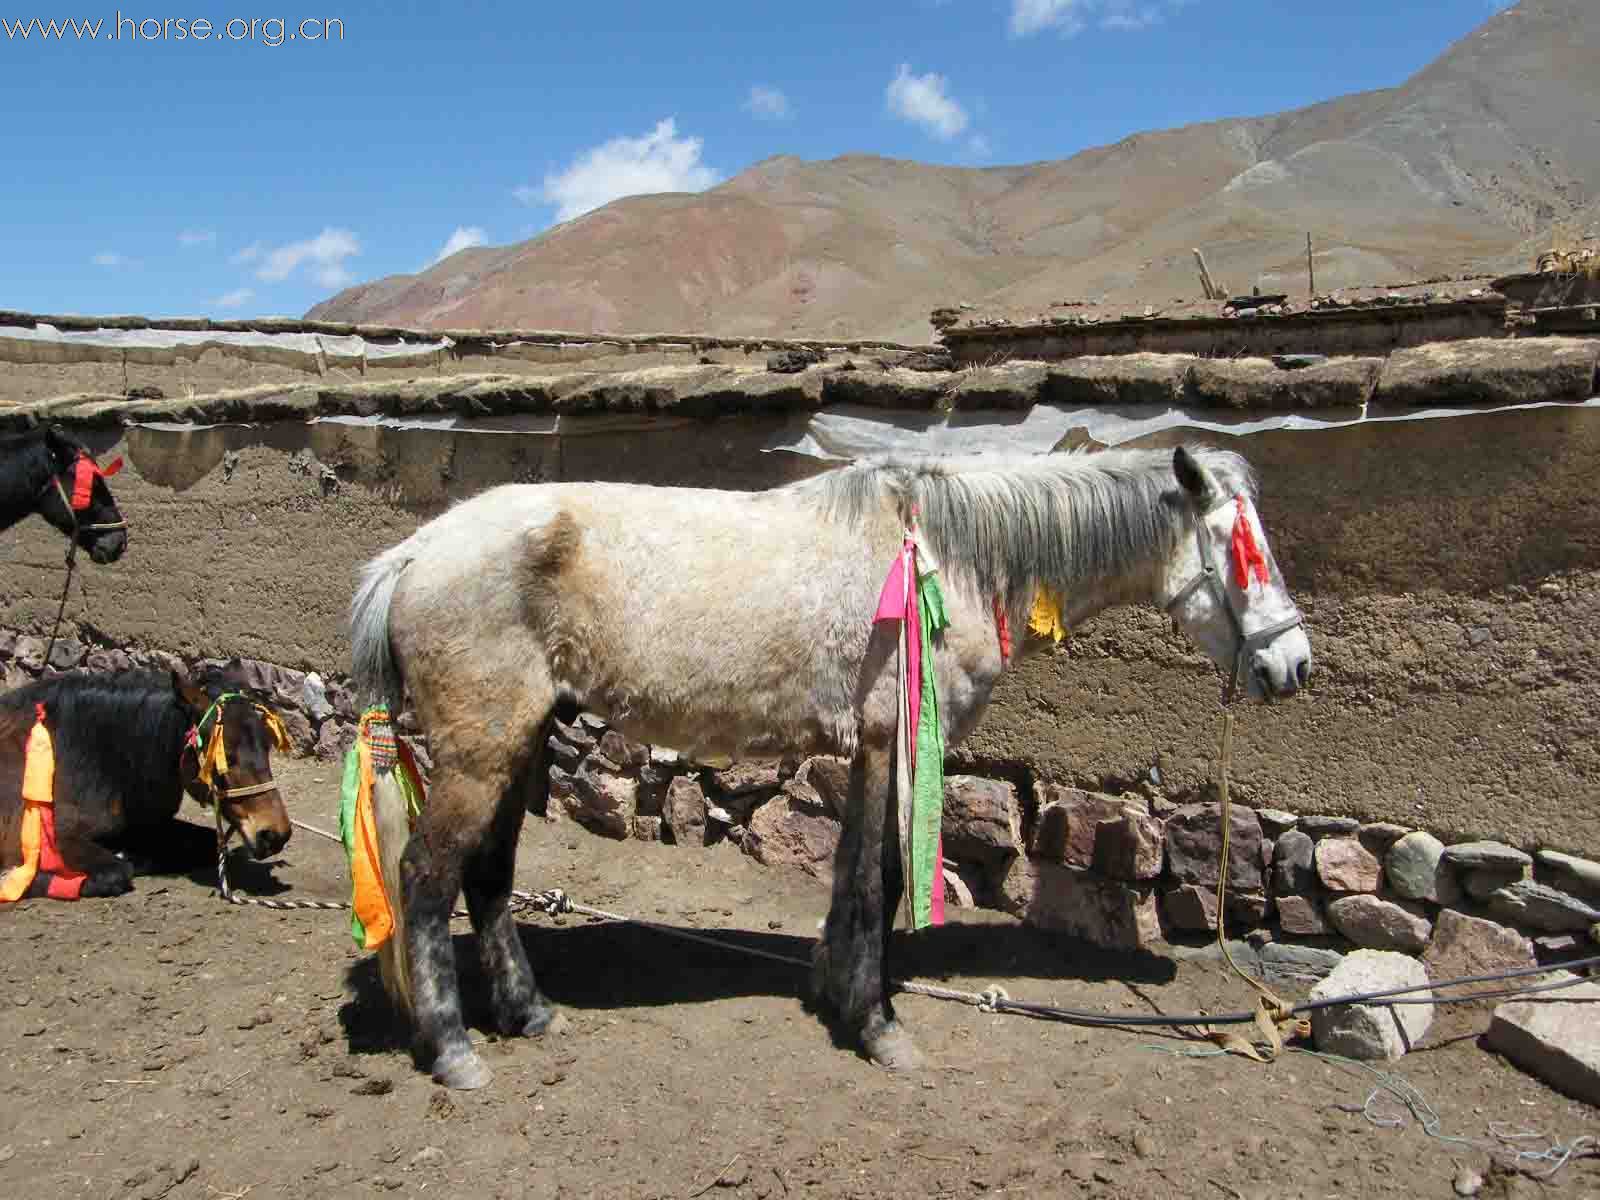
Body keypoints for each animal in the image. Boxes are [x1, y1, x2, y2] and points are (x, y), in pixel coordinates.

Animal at [350, 448, 1312, 1094]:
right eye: (1243, 550)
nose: (1291, 666)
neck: (952, 552)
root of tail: (412, 555)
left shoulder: (871, 748)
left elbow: (856, 876)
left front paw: (842, 993)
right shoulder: (898, 741)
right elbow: (881, 878)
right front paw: (880, 1026)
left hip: (518, 742)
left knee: (489, 876)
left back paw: (527, 1012)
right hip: (482, 750)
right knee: (427, 875)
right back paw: (453, 1048)